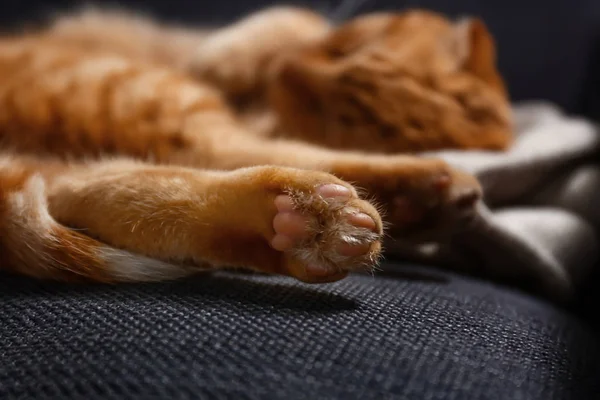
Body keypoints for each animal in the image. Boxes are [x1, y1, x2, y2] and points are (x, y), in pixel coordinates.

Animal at [0, 7, 510, 286]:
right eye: (343, 48)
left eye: (319, 110)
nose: (291, 69)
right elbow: (294, 16)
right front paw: (229, 56)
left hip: (139, 93)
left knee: (172, 168)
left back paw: (303, 223)